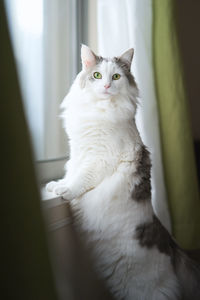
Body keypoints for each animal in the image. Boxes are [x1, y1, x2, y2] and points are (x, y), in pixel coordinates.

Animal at [47, 44, 200, 300]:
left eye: (116, 77)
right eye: (97, 75)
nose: (107, 86)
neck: (99, 111)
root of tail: (170, 245)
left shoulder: (100, 158)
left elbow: (81, 178)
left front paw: (66, 190)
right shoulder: (78, 151)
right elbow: (71, 170)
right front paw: (57, 184)